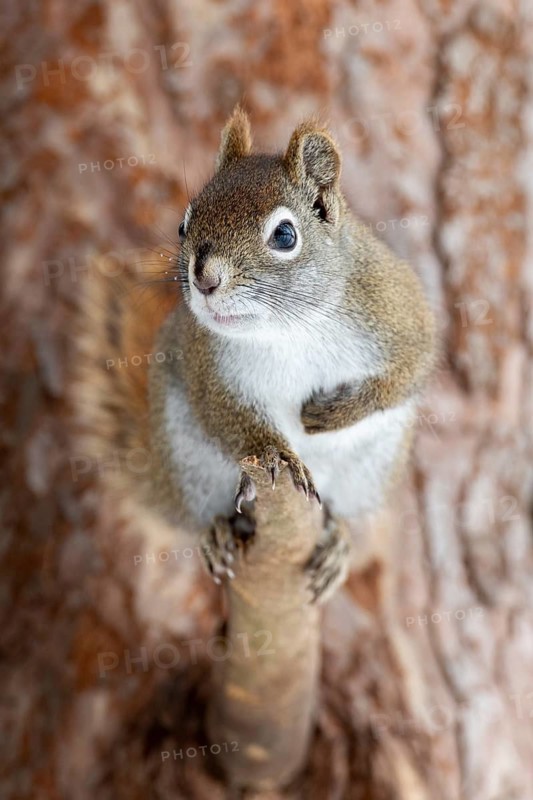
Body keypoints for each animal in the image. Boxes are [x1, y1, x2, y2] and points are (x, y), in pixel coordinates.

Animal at [73, 107, 435, 603]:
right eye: (184, 225)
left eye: (285, 235)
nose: (204, 278)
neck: (289, 328)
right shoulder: (209, 366)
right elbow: (226, 412)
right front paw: (274, 454)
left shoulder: (397, 312)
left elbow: (408, 372)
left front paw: (332, 413)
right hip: (189, 466)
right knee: (203, 514)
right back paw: (216, 533)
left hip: (368, 473)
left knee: (343, 513)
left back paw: (339, 542)